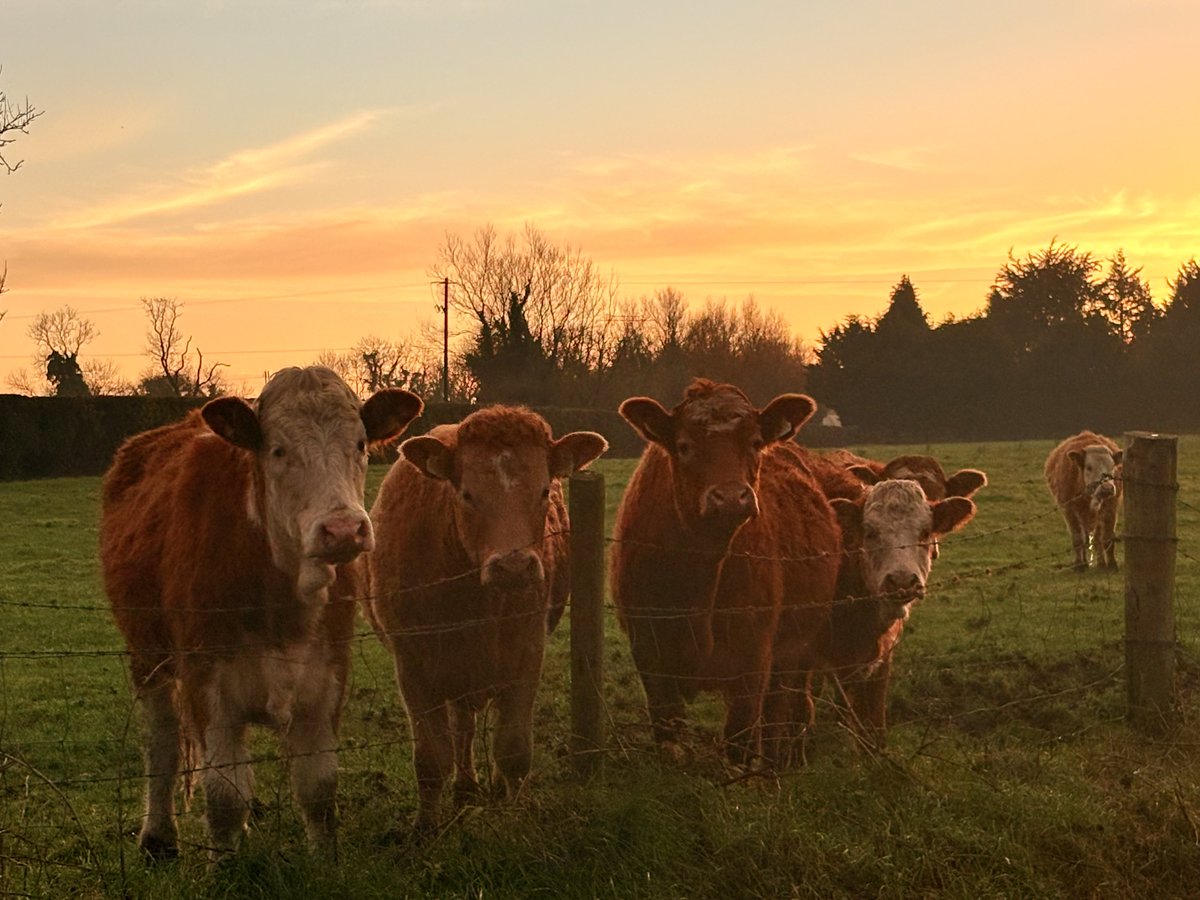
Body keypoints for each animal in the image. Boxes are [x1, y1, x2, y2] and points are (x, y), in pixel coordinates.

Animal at [101, 366, 423, 860]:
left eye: (360, 444)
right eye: (278, 449)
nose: (343, 529)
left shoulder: (325, 681)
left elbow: (318, 790)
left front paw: (326, 863)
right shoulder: (208, 684)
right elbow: (223, 796)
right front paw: (225, 867)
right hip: (148, 656)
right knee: (163, 742)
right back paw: (157, 837)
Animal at [366, 405, 607, 830]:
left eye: (544, 490)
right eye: (466, 494)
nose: (513, 566)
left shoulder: (527, 653)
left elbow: (513, 750)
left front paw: (514, 817)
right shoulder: (411, 665)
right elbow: (431, 759)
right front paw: (425, 826)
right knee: (461, 728)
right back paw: (464, 786)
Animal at [611, 379, 841, 768]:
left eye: (755, 442)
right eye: (685, 446)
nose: (731, 497)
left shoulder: (753, 657)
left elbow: (741, 739)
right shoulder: (649, 652)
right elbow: (669, 732)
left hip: (799, 649)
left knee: (787, 711)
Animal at [1044, 430, 1123, 570]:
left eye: (1112, 466)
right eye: (1089, 467)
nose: (1107, 488)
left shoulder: (1110, 509)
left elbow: (1107, 538)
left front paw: (1112, 564)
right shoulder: (1069, 511)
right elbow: (1078, 539)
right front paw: (1079, 565)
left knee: (1097, 539)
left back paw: (1101, 563)